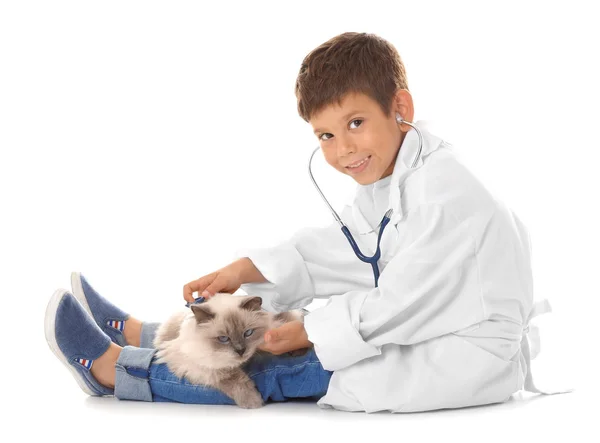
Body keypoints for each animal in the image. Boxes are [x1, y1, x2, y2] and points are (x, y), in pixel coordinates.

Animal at [152, 294, 312, 412]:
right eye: (224, 339)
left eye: (248, 333)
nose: (241, 350)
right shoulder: (193, 363)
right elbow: (230, 376)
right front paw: (253, 401)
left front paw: (298, 350)